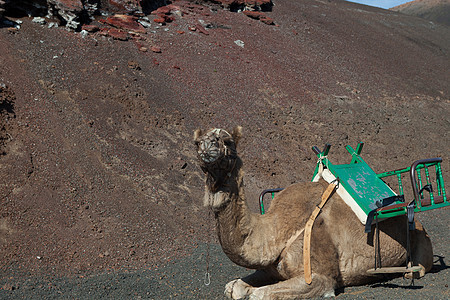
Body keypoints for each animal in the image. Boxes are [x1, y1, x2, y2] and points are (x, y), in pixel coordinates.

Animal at [193, 127, 432, 300]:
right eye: (196, 141)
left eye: (227, 141)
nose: (205, 146)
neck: (278, 230)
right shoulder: (270, 269)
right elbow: (233, 288)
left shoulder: (320, 277)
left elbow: (258, 295)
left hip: (423, 241)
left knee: (419, 268)